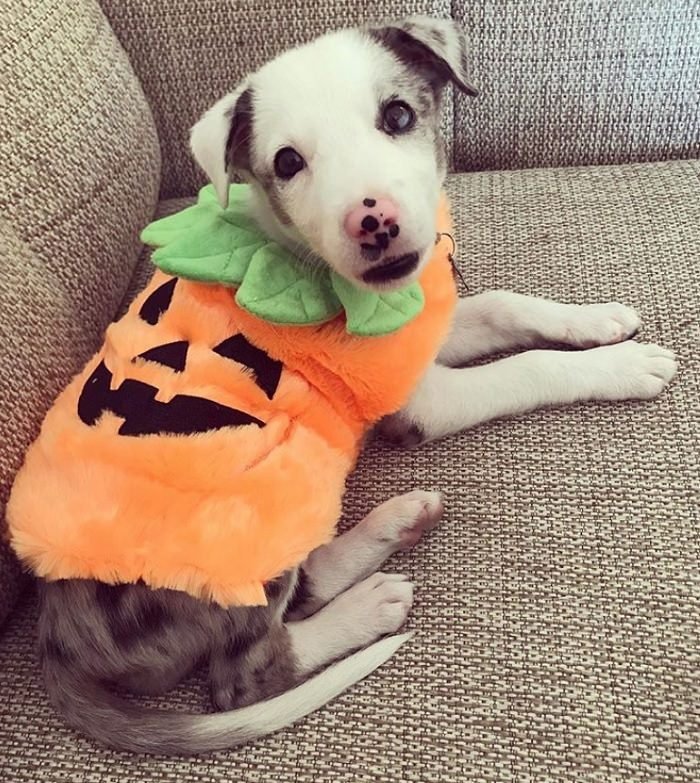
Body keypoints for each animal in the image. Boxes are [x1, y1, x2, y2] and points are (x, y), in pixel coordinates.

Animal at [12, 16, 680, 752]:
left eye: (398, 116)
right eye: (286, 162)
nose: (375, 222)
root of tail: (55, 636)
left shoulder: (424, 329)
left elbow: (507, 305)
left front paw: (596, 321)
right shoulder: (424, 401)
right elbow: (526, 368)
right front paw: (624, 366)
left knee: (305, 582)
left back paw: (394, 526)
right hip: (250, 511)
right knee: (248, 671)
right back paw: (368, 608)